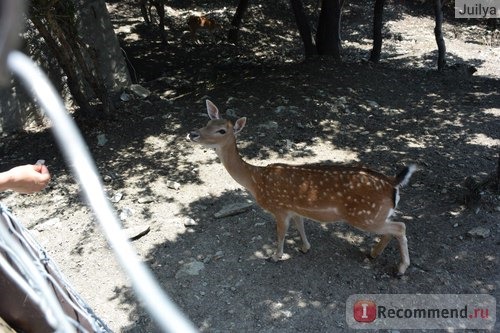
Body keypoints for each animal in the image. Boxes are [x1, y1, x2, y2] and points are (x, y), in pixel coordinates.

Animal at [188, 99, 418, 274]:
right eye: (206, 122)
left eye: (221, 130)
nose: (192, 134)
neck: (255, 180)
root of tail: (393, 183)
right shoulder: (295, 208)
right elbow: (300, 225)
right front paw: (305, 247)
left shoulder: (279, 208)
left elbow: (281, 233)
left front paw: (275, 256)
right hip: (377, 216)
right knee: (393, 228)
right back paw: (374, 253)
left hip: (365, 216)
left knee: (400, 227)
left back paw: (401, 268)